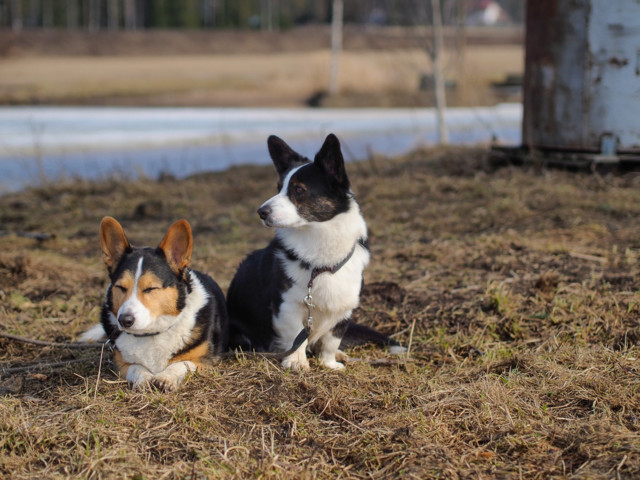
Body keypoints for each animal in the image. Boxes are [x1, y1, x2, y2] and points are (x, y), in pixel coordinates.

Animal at [228, 134, 402, 372]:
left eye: (299, 190)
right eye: (278, 188)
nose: (261, 212)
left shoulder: (343, 310)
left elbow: (331, 341)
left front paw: (329, 363)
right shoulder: (287, 305)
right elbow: (295, 336)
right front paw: (296, 362)